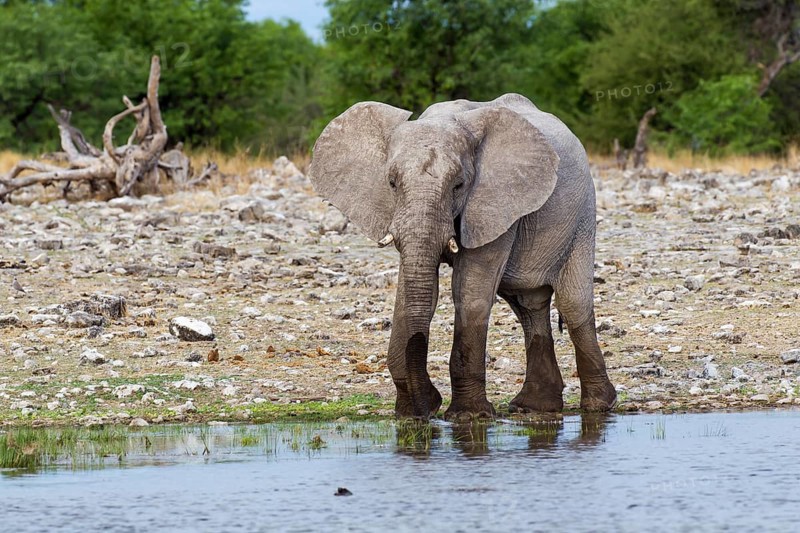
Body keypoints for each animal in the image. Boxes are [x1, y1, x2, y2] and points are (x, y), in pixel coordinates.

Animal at [308, 93, 616, 420]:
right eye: (391, 183)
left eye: (458, 185)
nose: (428, 406)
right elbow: (414, 293)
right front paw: (410, 412)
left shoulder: (493, 203)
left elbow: (469, 292)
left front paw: (468, 416)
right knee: (528, 305)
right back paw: (533, 407)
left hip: (582, 216)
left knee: (572, 303)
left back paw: (598, 406)